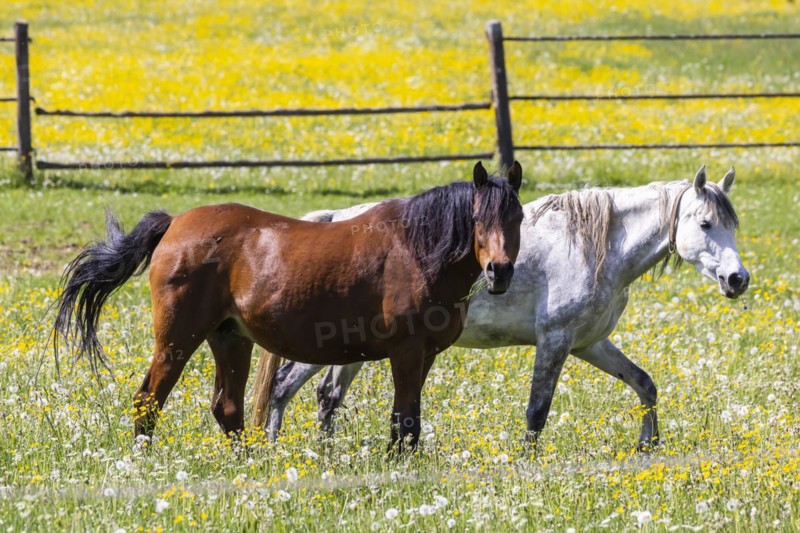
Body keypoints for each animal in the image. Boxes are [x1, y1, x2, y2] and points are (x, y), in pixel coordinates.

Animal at [53, 161, 524, 451]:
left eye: (517, 218)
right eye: (478, 220)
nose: (500, 271)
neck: (416, 250)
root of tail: (174, 224)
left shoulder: (424, 356)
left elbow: (408, 420)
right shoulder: (407, 352)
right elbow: (404, 418)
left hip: (230, 339)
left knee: (227, 407)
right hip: (176, 340)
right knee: (149, 399)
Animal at [252, 165, 749, 449]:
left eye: (732, 224)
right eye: (705, 223)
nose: (737, 279)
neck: (595, 246)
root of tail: (334, 221)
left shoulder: (589, 344)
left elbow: (645, 385)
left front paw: (648, 444)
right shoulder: (554, 341)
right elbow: (537, 411)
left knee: (324, 396)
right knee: (284, 388)